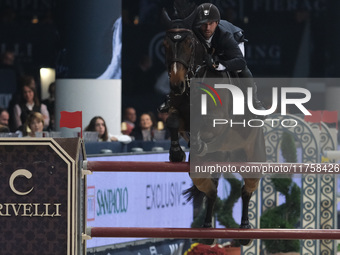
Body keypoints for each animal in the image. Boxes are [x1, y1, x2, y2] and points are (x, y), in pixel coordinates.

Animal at [163, 11, 268, 245]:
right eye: (165, 44)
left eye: (189, 44)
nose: (176, 85)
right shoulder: (178, 113)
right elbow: (173, 121)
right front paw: (176, 153)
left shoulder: (218, 121)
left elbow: (206, 126)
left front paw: (197, 143)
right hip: (205, 169)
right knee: (211, 190)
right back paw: (208, 231)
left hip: (252, 159)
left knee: (246, 190)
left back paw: (245, 231)